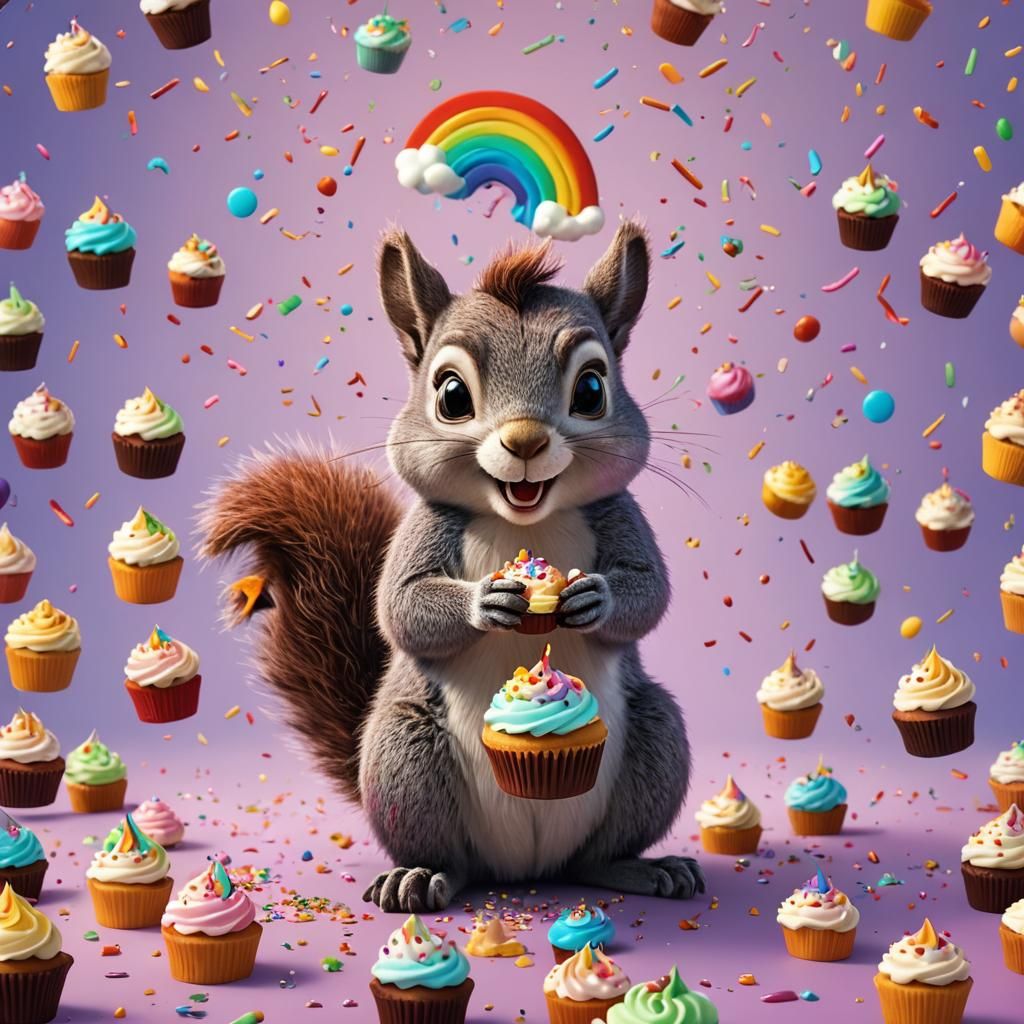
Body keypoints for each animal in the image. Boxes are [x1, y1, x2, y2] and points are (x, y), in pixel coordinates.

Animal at [199, 219, 704, 913]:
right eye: (452, 394)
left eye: (593, 389)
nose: (525, 441)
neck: (525, 520)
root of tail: (527, 869)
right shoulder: (427, 526)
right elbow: (401, 606)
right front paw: (485, 600)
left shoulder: (617, 513)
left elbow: (648, 590)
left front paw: (593, 599)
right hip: (405, 758)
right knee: (453, 857)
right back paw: (420, 876)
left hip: (656, 743)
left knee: (597, 855)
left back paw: (642, 868)